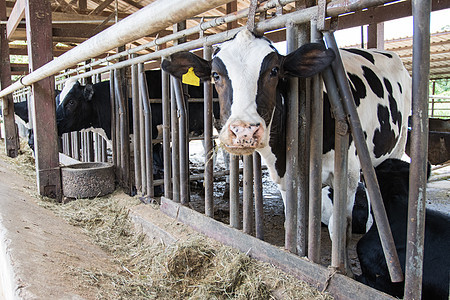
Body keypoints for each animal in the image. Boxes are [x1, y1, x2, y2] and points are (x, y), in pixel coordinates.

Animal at [163, 28, 414, 246]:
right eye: (215, 75)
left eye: (274, 71)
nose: (244, 131)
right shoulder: (286, 179)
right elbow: (293, 222)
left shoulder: (349, 174)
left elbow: (339, 227)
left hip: (395, 147)